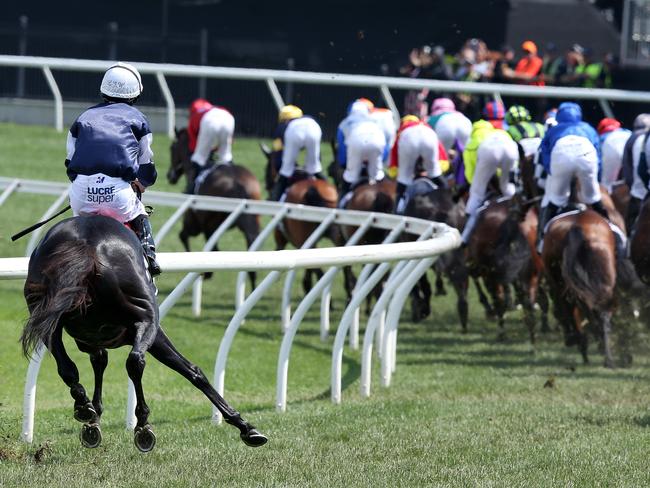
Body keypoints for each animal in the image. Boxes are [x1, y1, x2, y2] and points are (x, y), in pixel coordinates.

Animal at [22, 215, 266, 452]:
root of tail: (85, 244)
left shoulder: (93, 339)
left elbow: (98, 363)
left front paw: (93, 419)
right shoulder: (152, 333)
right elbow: (192, 371)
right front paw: (244, 426)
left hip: (44, 316)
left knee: (67, 367)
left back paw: (84, 405)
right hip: (145, 318)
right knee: (135, 361)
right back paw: (142, 425)